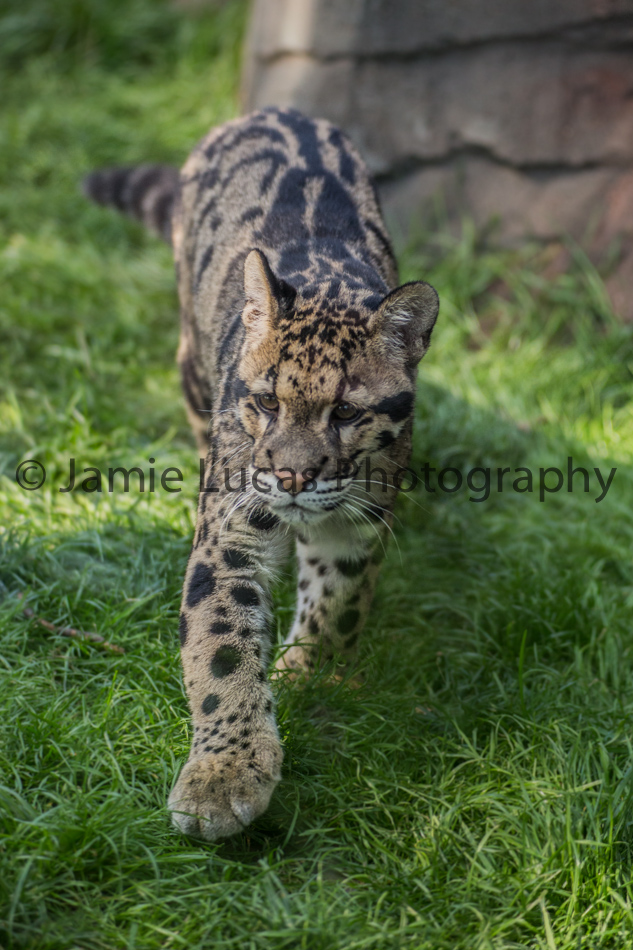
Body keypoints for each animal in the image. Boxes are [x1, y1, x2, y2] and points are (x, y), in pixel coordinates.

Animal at [84, 107, 439, 841]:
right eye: (268, 402)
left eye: (345, 412)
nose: (292, 479)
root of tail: (266, 110)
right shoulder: (231, 534)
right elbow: (220, 650)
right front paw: (223, 776)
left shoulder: (357, 524)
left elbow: (335, 607)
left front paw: (309, 675)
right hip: (188, 360)